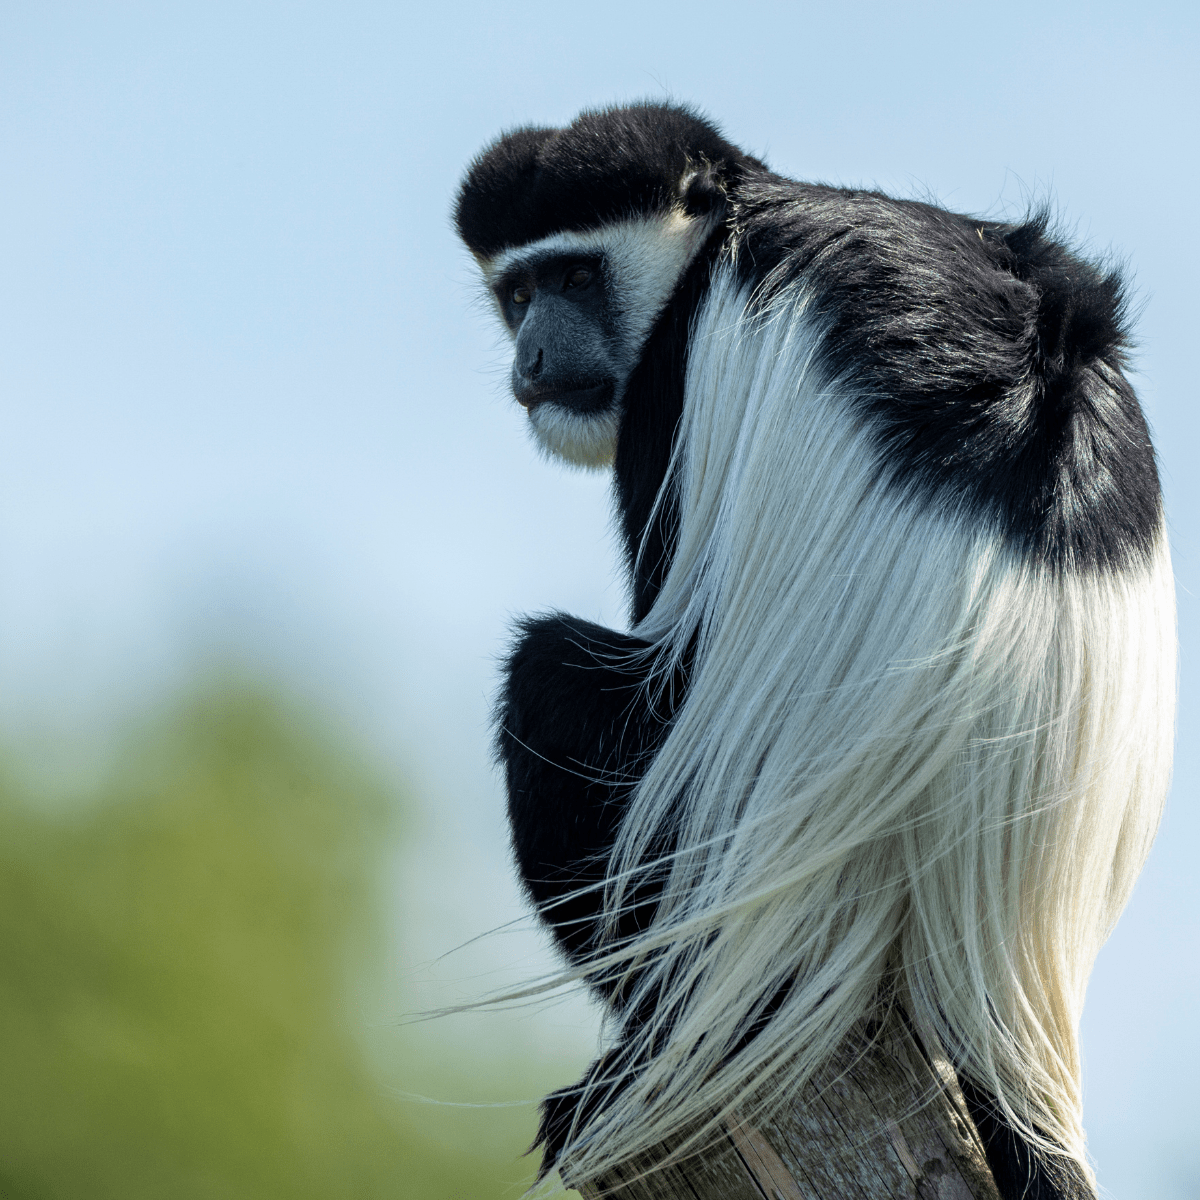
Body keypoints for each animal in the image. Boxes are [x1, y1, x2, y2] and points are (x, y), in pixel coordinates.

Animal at [455, 102, 1175, 1200]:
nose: (534, 362)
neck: (726, 221)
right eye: (521, 291)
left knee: (552, 684)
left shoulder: (684, 367)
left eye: (576, 278)